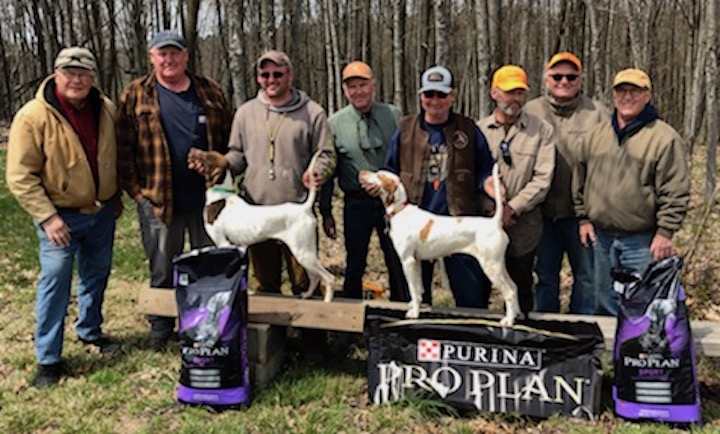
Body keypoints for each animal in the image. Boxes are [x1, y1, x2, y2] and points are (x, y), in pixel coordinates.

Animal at [200, 153, 334, 302]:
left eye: (206, 157)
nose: (193, 152)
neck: (220, 196)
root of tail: (304, 208)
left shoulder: (223, 243)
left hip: (303, 252)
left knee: (329, 277)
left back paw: (327, 301)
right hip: (306, 252)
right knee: (315, 277)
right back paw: (307, 295)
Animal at [358, 165, 520, 326]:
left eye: (379, 175)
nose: (361, 172)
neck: (401, 211)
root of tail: (495, 222)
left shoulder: (408, 261)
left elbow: (412, 288)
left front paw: (414, 313)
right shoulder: (416, 261)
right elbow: (418, 290)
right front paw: (415, 305)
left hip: (491, 267)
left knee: (509, 292)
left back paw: (508, 321)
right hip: (499, 265)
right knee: (514, 286)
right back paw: (516, 314)